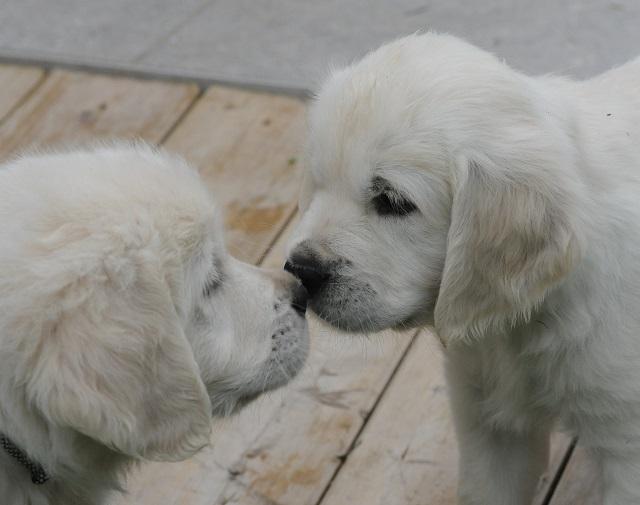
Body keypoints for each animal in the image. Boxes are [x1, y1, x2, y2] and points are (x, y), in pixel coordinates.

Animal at [288, 34, 640, 504]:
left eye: (392, 201)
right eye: (319, 182)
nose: (299, 270)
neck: (524, 323)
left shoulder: (628, 444)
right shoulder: (486, 416)